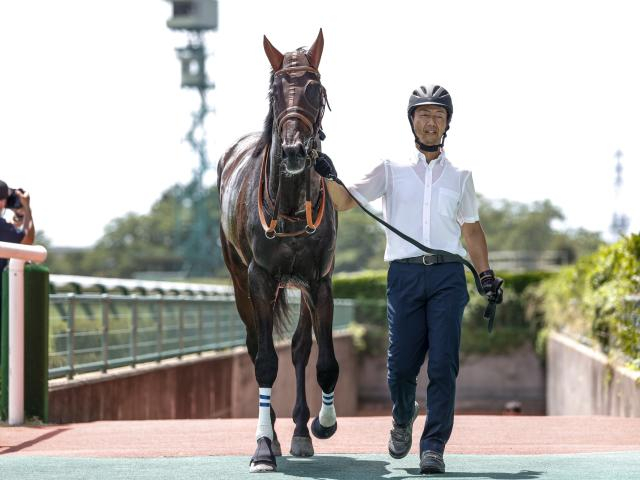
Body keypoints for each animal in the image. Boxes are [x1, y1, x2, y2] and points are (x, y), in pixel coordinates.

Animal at [218, 29, 340, 472]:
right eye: (273, 92)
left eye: (314, 89)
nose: (291, 151)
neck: (288, 207)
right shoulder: (259, 278)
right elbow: (265, 361)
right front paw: (262, 448)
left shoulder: (319, 280)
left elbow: (323, 361)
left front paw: (320, 425)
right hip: (239, 278)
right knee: (257, 347)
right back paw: (269, 431)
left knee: (301, 350)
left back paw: (301, 432)